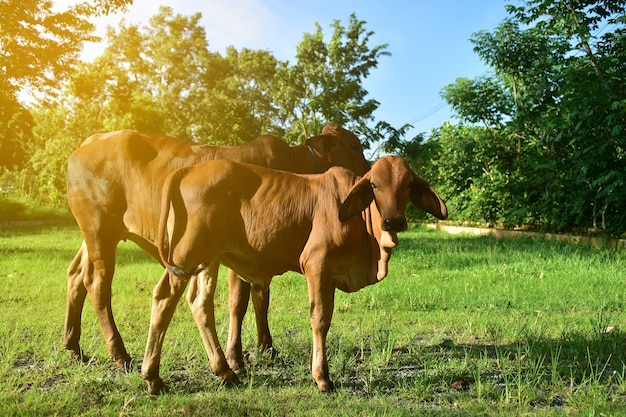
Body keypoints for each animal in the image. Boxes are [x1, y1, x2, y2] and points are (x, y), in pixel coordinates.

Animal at [62, 124, 368, 368]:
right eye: (355, 146)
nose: (368, 175)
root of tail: (87, 143)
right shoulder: (243, 254)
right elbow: (239, 303)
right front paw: (235, 356)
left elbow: (261, 299)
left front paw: (266, 347)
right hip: (100, 231)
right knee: (98, 285)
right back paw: (119, 353)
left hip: (93, 237)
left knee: (76, 275)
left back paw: (74, 347)